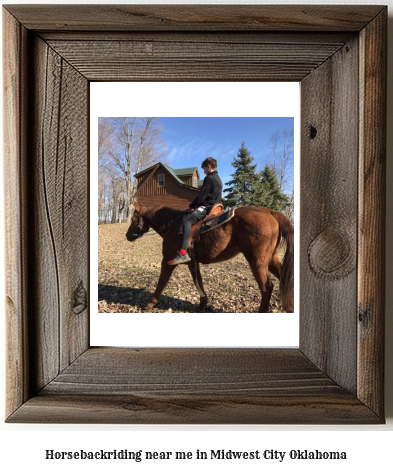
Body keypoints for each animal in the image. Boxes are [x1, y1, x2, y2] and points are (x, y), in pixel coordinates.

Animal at [124, 203, 292, 312]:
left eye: (133, 219)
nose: (128, 235)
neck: (172, 226)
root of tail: (269, 211)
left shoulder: (167, 262)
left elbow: (161, 282)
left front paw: (150, 303)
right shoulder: (193, 263)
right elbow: (198, 282)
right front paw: (203, 304)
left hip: (257, 261)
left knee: (266, 287)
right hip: (271, 260)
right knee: (284, 278)